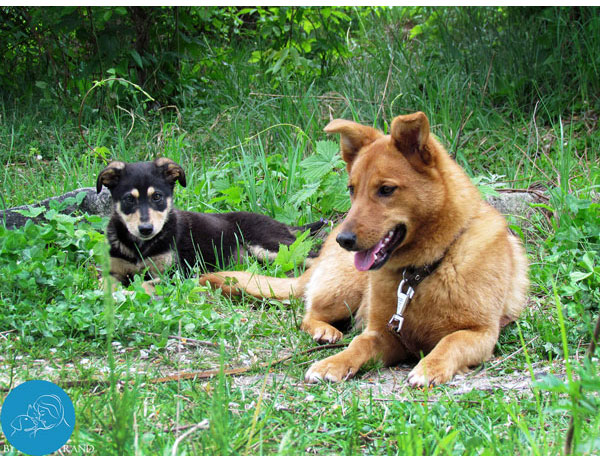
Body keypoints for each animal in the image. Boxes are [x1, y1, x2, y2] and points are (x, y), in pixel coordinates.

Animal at [98, 160, 324, 288]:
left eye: (157, 197)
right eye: (129, 199)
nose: (146, 229)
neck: (139, 247)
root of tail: (279, 223)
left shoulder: (173, 274)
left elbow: (142, 286)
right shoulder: (113, 271)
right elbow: (104, 285)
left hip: (272, 246)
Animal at [199, 112, 528, 388]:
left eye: (386, 190)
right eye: (351, 189)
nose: (343, 240)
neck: (423, 271)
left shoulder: (480, 334)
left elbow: (451, 342)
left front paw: (429, 367)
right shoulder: (383, 334)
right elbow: (358, 344)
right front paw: (333, 363)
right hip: (345, 289)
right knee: (307, 314)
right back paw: (324, 331)